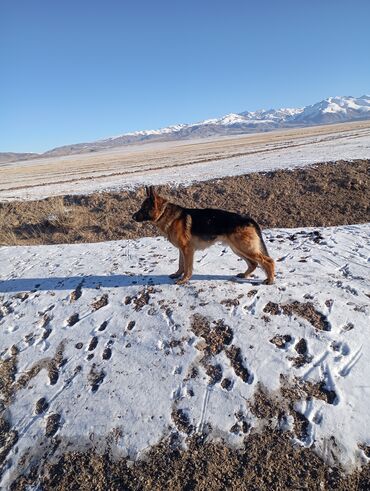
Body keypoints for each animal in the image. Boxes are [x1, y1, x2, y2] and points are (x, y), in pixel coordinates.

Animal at [133, 187, 274, 288]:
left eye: (143, 208)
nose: (132, 217)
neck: (164, 214)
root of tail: (249, 219)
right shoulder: (181, 250)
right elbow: (181, 264)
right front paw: (177, 275)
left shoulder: (188, 250)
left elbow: (187, 268)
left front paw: (183, 280)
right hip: (237, 249)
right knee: (254, 263)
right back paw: (244, 275)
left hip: (244, 248)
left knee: (268, 261)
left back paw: (270, 279)